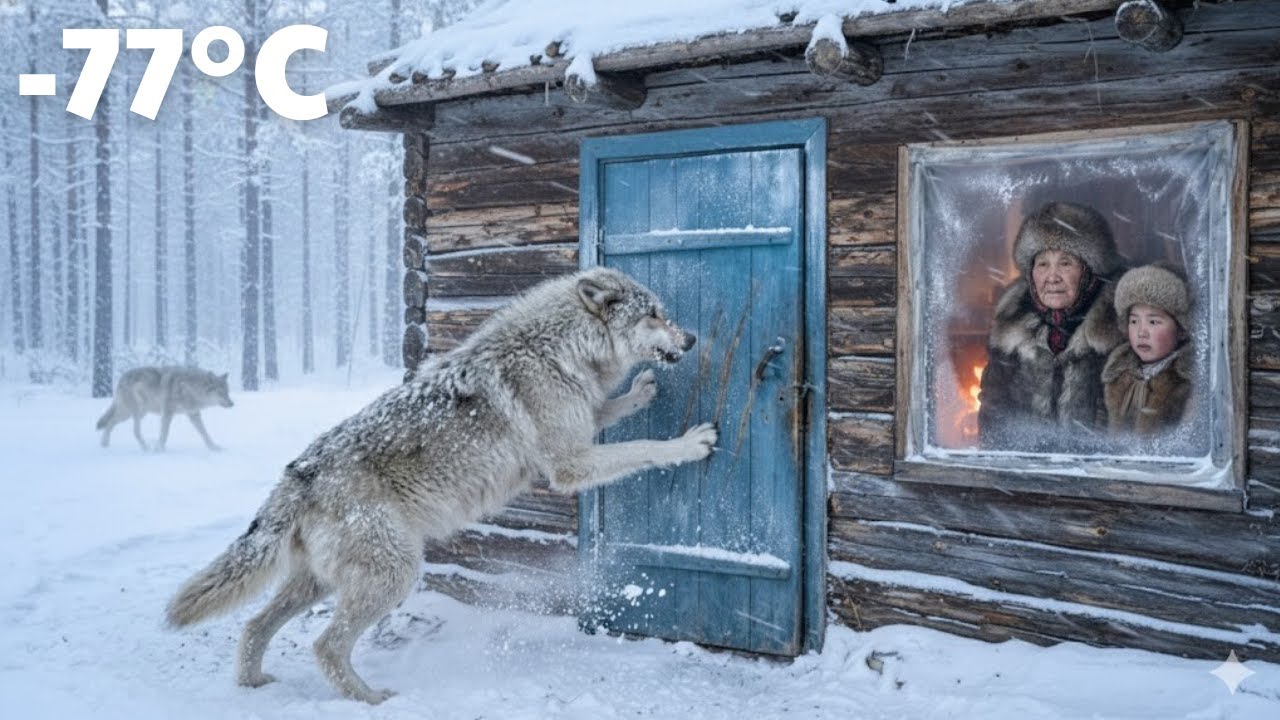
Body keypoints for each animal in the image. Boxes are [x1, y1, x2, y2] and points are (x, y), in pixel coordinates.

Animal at [96, 366, 234, 452]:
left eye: (228, 392)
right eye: (221, 393)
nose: (232, 403)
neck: (189, 388)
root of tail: (122, 377)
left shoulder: (194, 414)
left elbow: (205, 434)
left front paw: (215, 448)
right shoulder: (167, 413)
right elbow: (164, 434)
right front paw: (159, 450)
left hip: (132, 414)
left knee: (110, 423)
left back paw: (104, 445)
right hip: (135, 413)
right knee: (134, 431)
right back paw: (146, 448)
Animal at [165, 267, 718, 704]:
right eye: (654, 314)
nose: (691, 340)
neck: (560, 350)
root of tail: (298, 474)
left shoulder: (581, 427)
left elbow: (614, 409)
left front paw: (640, 391)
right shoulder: (569, 466)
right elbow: (642, 448)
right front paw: (690, 444)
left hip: (321, 582)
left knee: (254, 625)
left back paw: (253, 686)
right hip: (393, 573)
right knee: (325, 645)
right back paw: (372, 699)